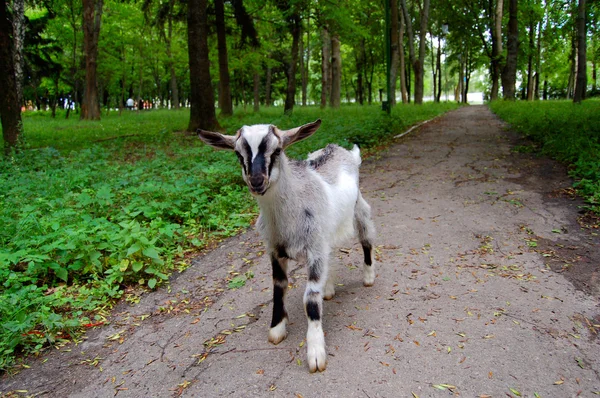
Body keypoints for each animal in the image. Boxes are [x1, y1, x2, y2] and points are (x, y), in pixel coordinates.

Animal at [197, 120, 376, 374]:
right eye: (238, 154)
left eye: (277, 150)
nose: (257, 181)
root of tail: (342, 151)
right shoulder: (275, 250)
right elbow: (278, 287)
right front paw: (277, 329)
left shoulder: (313, 249)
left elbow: (310, 298)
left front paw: (315, 353)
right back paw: (329, 289)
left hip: (359, 208)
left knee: (366, 238)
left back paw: (368, 276)